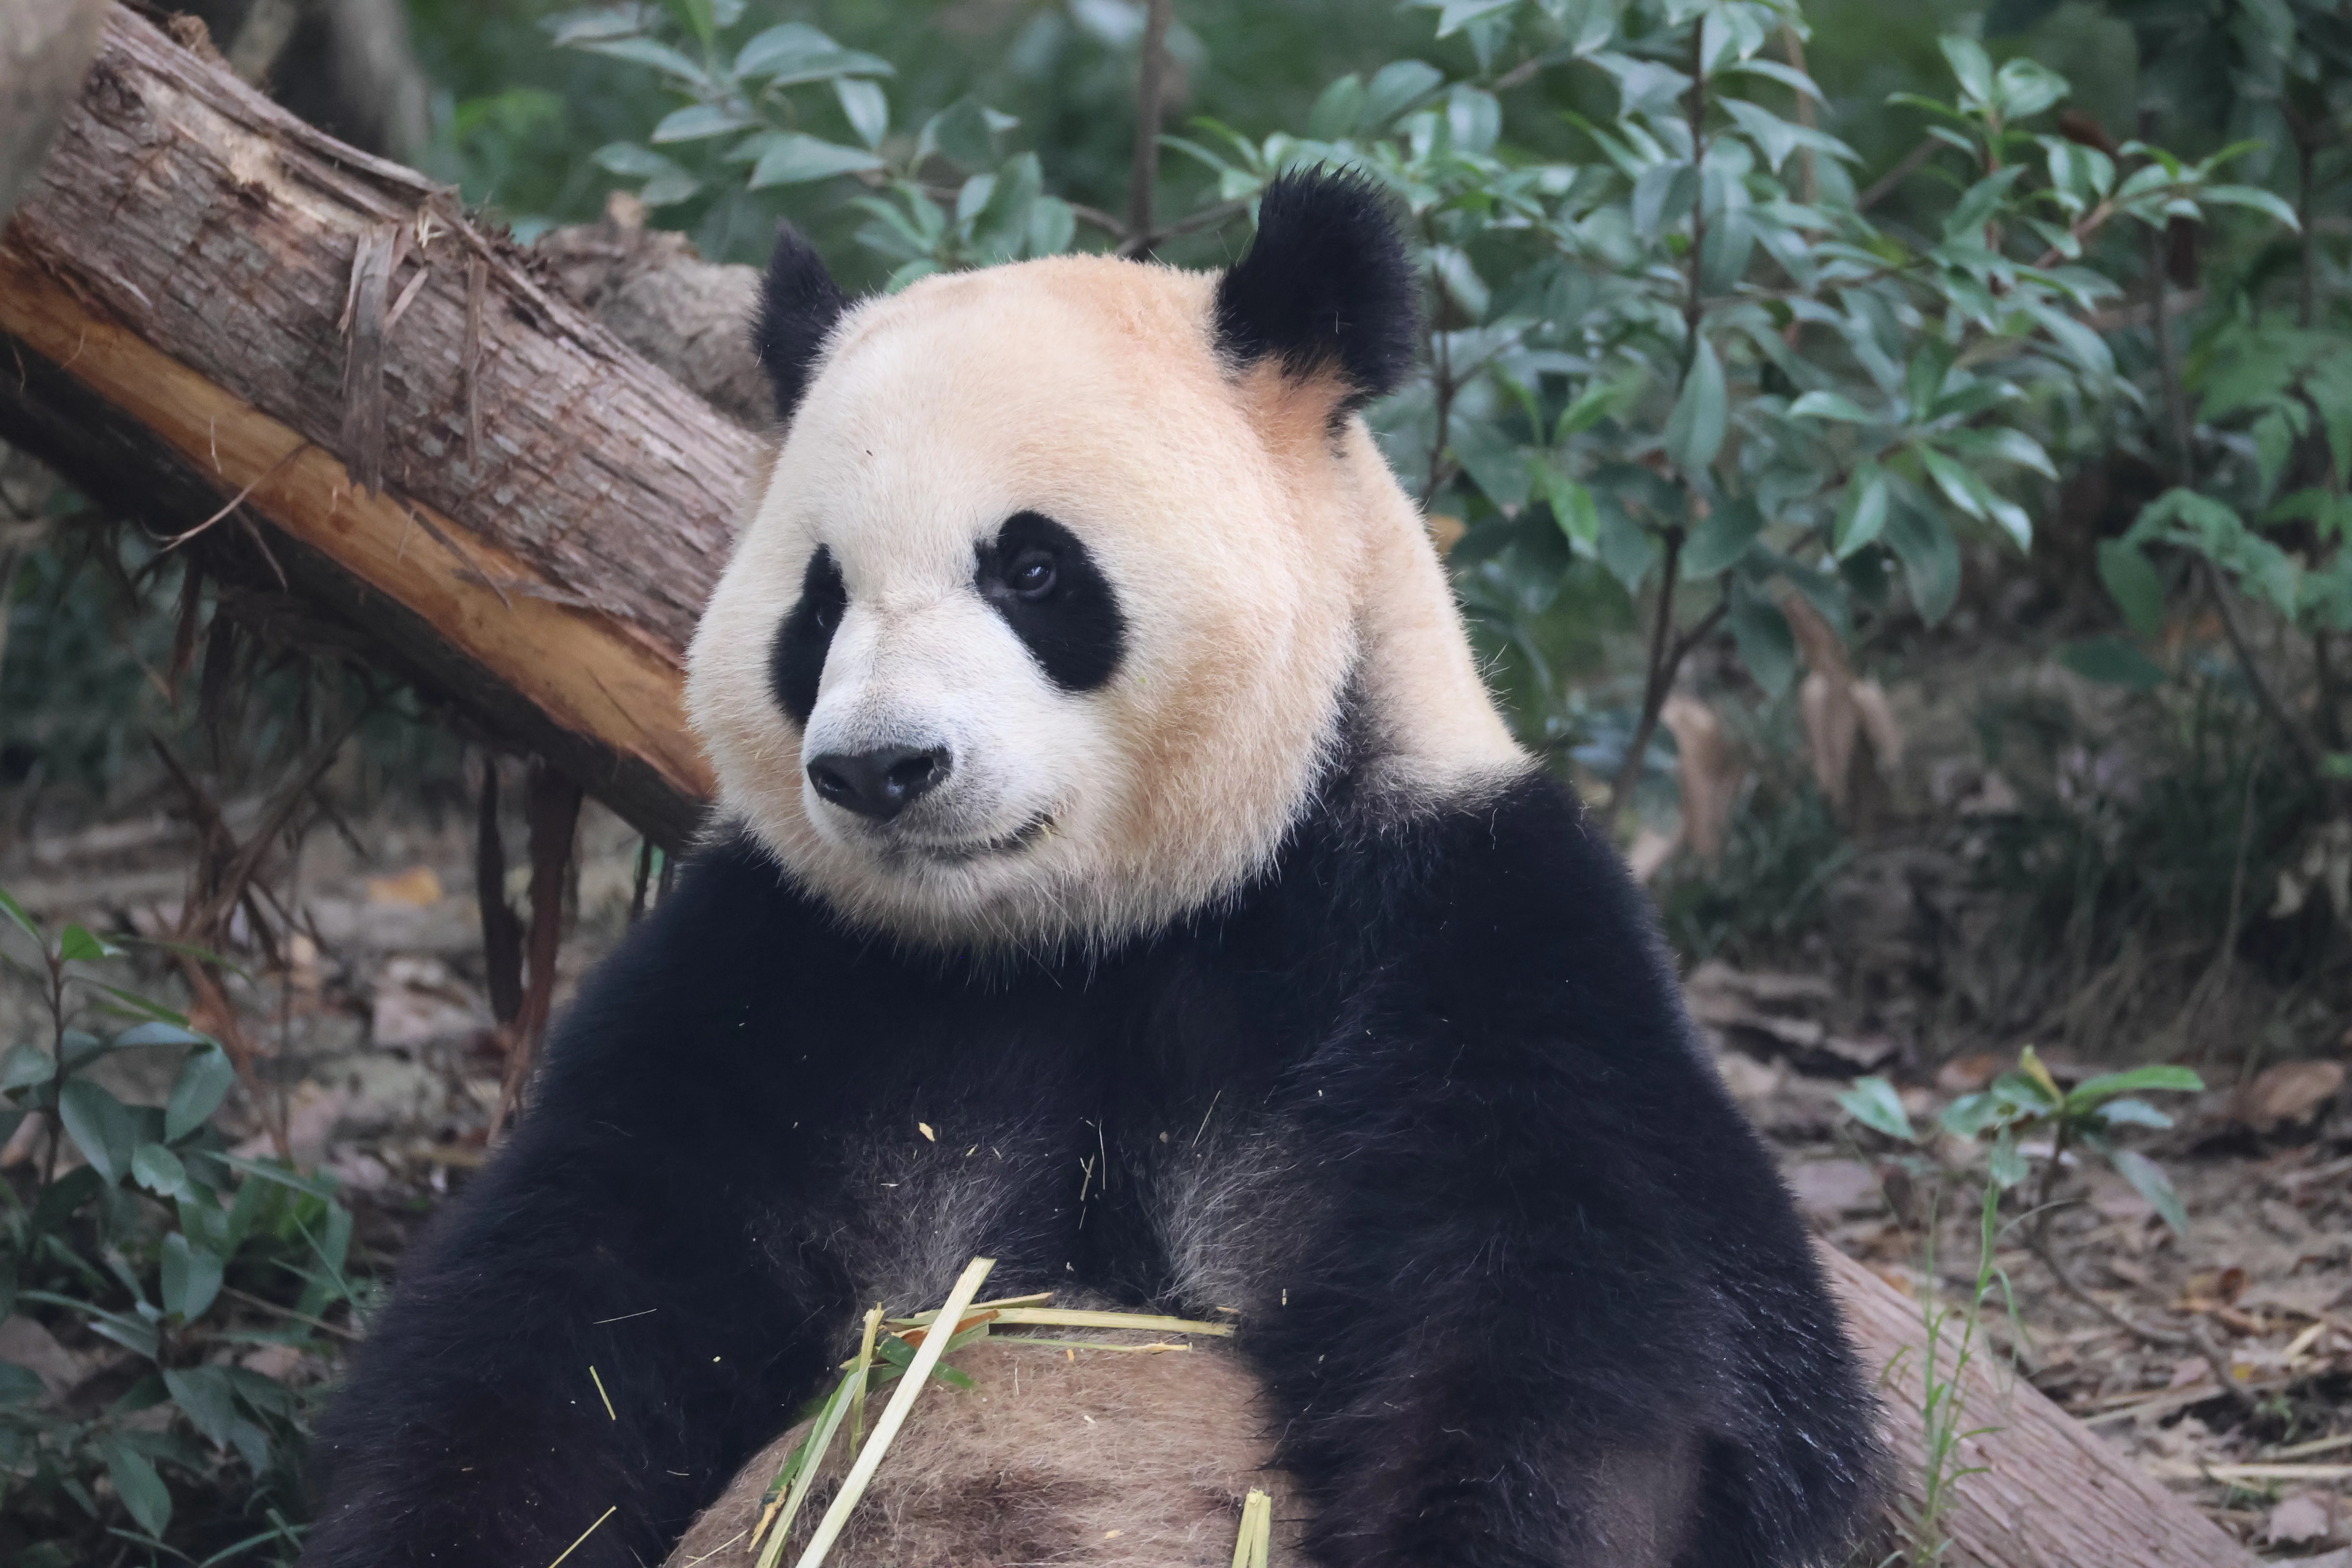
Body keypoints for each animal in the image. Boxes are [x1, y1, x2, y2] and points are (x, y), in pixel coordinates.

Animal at [302, 169, 1883, 1568]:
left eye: (1032, 569)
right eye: (817, 602)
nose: (879, 768)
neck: (1086, 937)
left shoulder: (1446, 932)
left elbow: (1579, 1317)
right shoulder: (781, 976)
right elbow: (563, 1303)